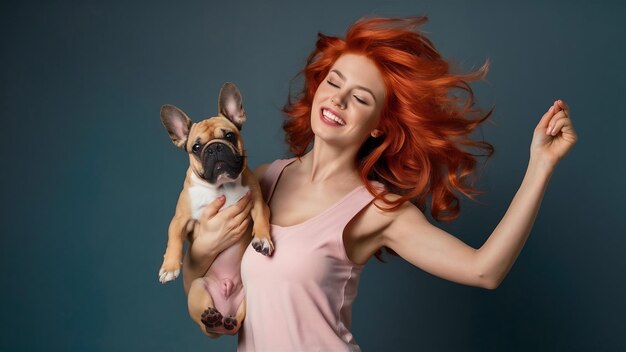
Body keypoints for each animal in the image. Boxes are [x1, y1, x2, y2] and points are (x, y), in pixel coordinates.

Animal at [157, 81, 272, 334]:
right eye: (196, 147)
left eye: (229, 136)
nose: (215, 148)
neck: (221, 186)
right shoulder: (180, 219)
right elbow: (174, 239)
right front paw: (169, 267)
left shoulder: (257, 203)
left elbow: (262, 219)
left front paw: (264, 239)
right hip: (198, 288)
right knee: (208, 323)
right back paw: (211, 318)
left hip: (246, 298)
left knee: (236, 320)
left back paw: (228, 321)